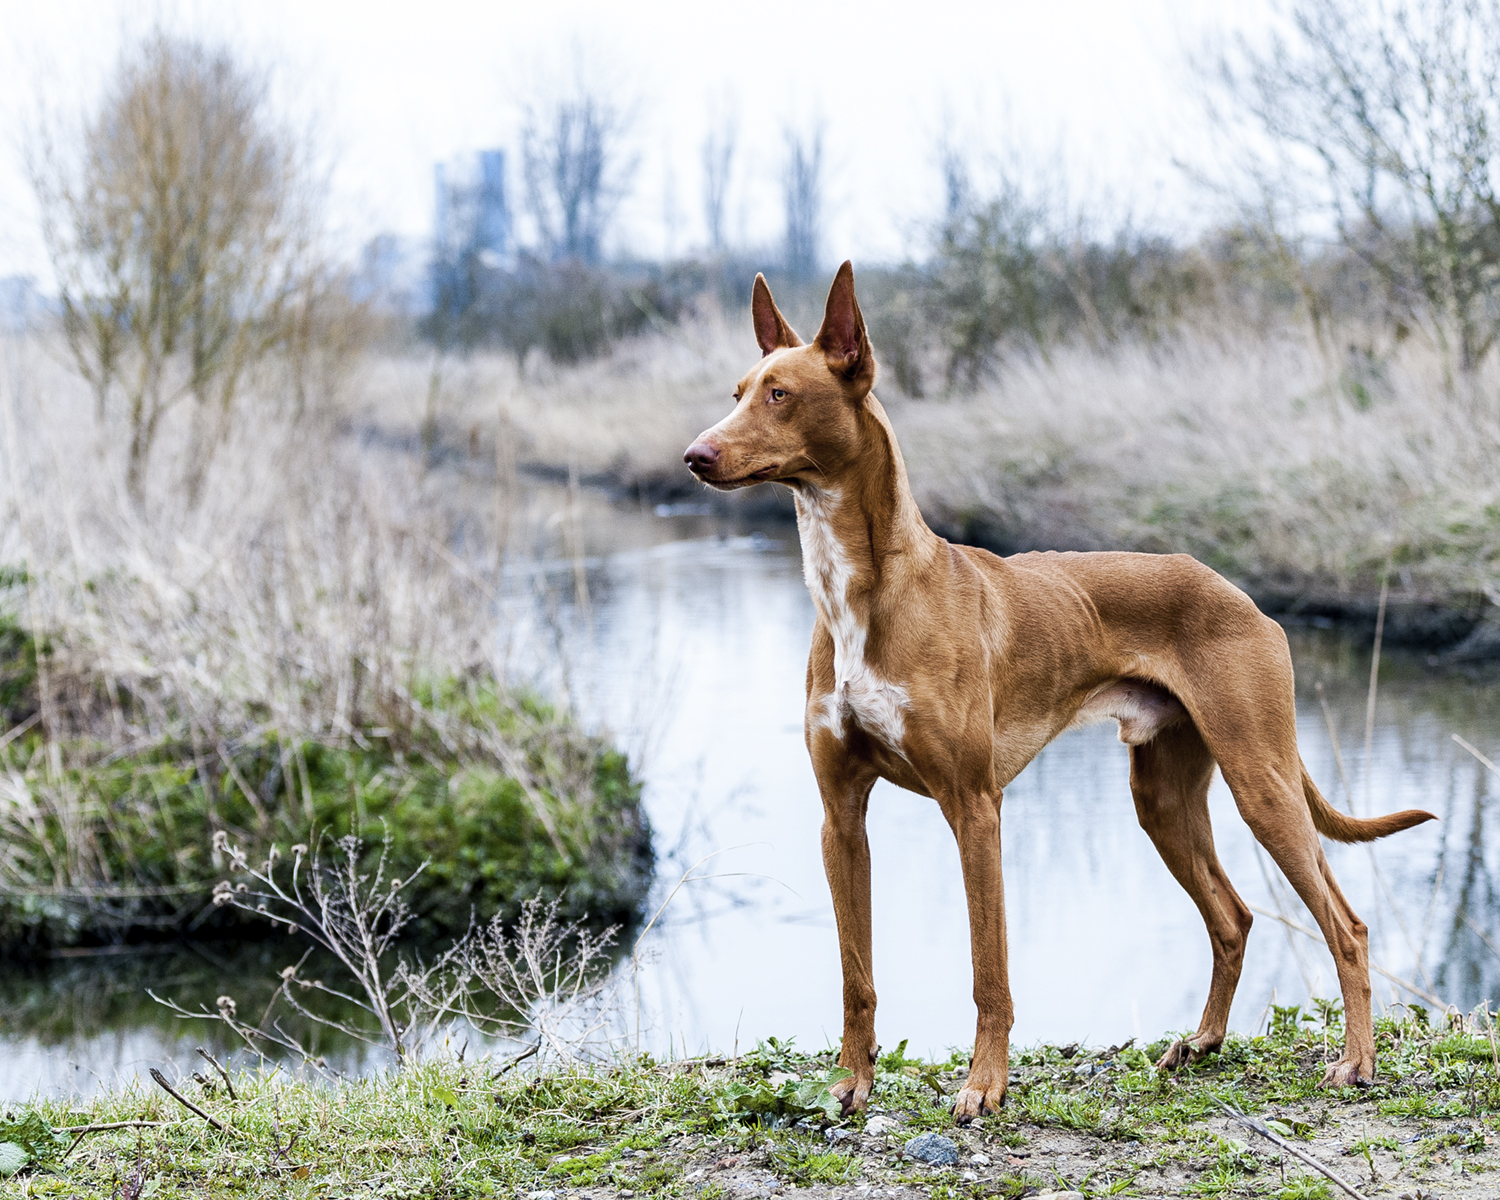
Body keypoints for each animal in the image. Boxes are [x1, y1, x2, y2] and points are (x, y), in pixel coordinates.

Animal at [687, 259, 1434, 1116]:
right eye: (738, 389)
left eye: (781, 394)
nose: (694, 455)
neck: (861, 595)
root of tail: (1241, 594)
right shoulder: (840, 816)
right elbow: (855, 974)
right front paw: (851, 1083)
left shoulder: (975, 807)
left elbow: (990, 973)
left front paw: (984, 1087)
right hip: (1163, 799)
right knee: (1234, 917)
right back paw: (1204, 1042)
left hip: (1261, 781)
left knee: (1346, 925)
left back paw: (1357, 1061)